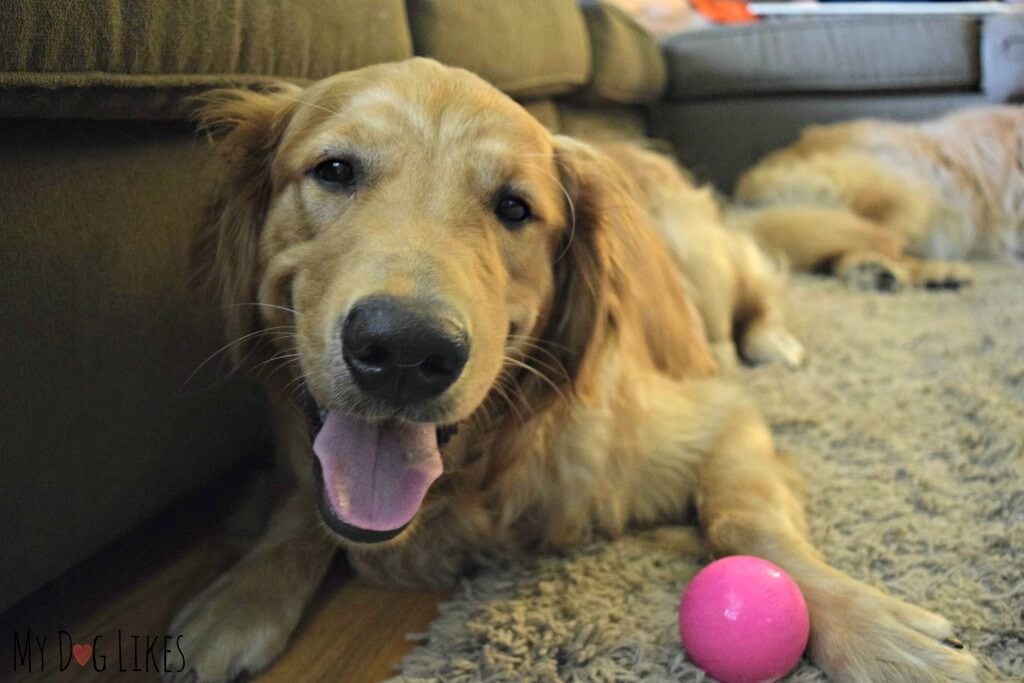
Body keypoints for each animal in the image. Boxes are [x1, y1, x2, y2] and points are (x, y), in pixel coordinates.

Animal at [172, 60, 978, 683]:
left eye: (513, 207)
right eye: (334, 170)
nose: (404, 351)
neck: (481, 469)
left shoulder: (718, 419)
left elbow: (744, 517)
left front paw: (872, 629)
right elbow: (298, 505)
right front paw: (236, 600)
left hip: (704, 261)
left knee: (758, 294)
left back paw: (795, 327)